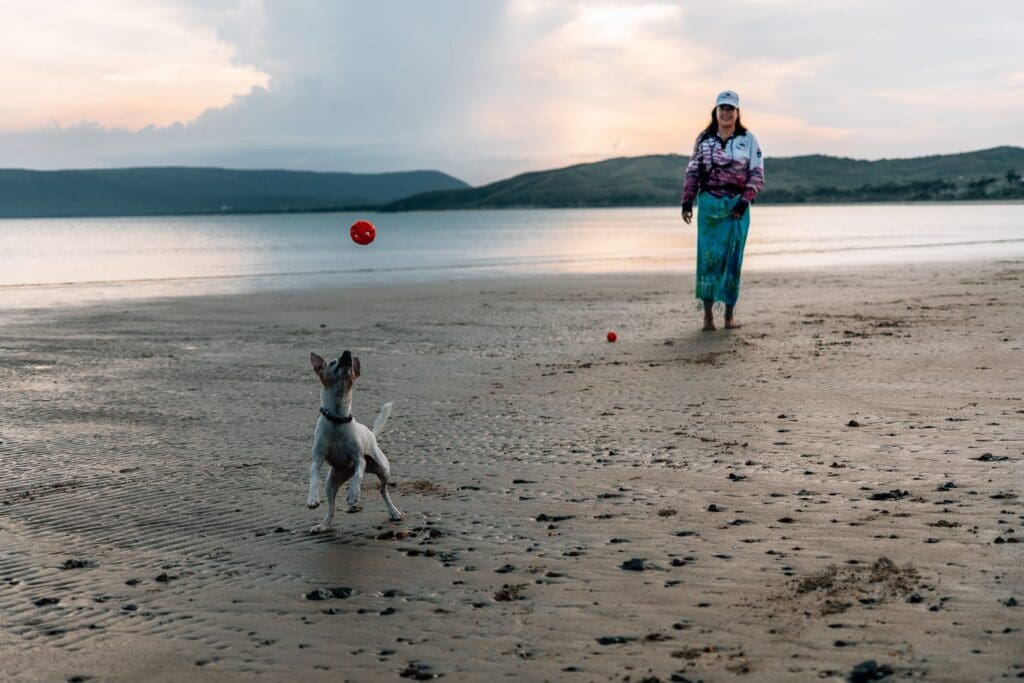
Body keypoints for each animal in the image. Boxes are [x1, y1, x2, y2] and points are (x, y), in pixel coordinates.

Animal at [303, 352, 399, 532]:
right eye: (333, 363)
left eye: (351, 365)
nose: (347, 353)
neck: (337, 419)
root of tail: (371, 433)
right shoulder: (317, 459)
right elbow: (313, 476)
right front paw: (312, 498)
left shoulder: (359, 459)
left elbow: (359, 474)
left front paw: (353, 495)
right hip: (331, 483)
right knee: (331, 509)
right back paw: (322, 525)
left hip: (383, 469)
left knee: (383, 490)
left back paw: (393, 511)